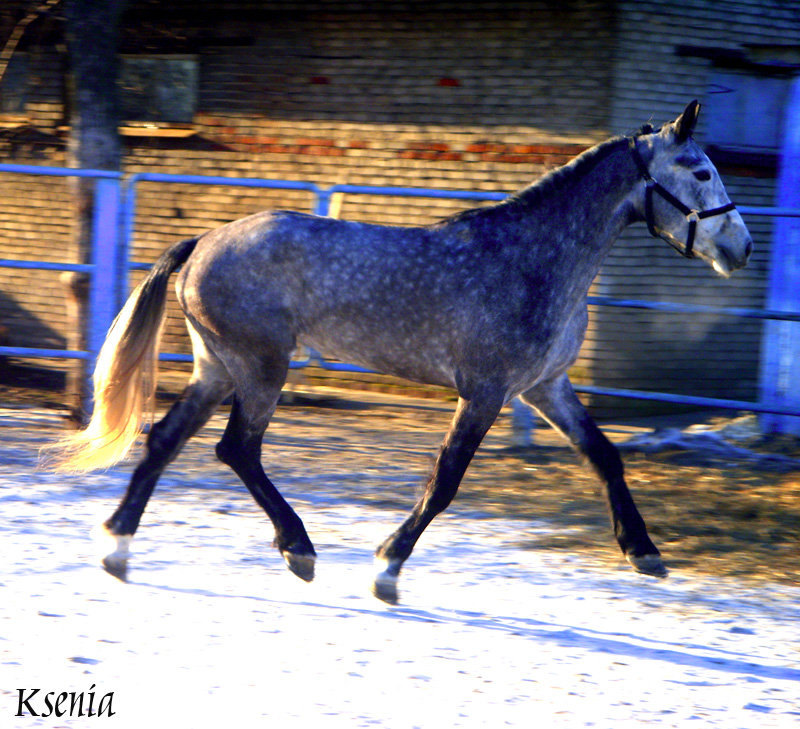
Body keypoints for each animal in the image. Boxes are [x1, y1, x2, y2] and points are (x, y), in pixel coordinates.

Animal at [50, 102, 752, 604]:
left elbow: (605, 456)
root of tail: (202, 243)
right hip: (260, 367)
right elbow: (445, 481)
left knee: (166, 439)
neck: (534, 259)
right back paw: (299, 550)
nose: (740, 248)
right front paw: (387, 568)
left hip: (218, 367)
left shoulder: (544, 386)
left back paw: (117, 549)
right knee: (236, 450)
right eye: (700, 172)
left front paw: (644, 552)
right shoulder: (487, 391)